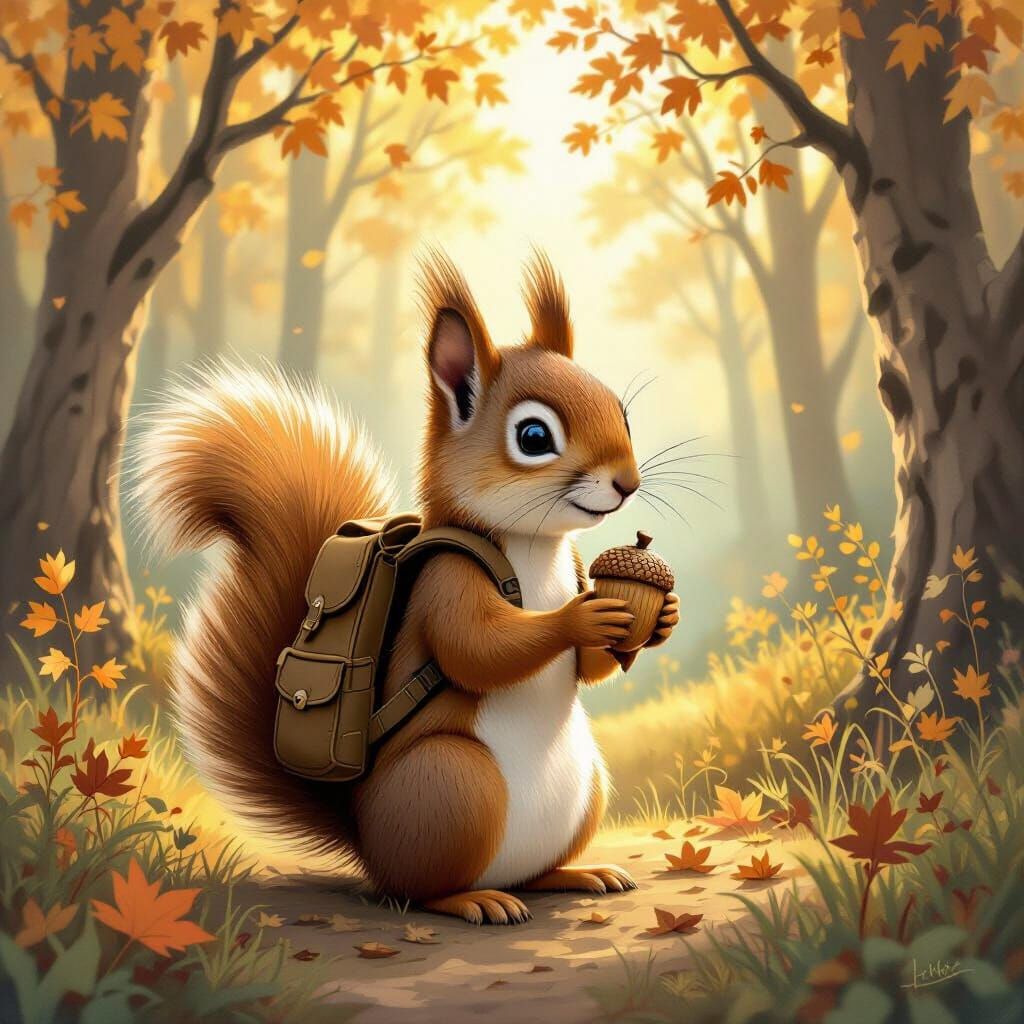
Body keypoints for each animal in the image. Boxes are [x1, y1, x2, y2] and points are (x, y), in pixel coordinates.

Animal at [134, 251, 680, 925]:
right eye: (533, 437)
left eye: (620, 411)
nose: (627, 483)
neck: (533, 545)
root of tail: (367, 846)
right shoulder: (448, 582)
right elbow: (476, 649)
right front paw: (576, 619)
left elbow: (589, 669)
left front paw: (660, 616)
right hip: (451, 783)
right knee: (421, 890)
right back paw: (476, 900)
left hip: (586, 792)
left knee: (529, 874)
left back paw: (577, 874)